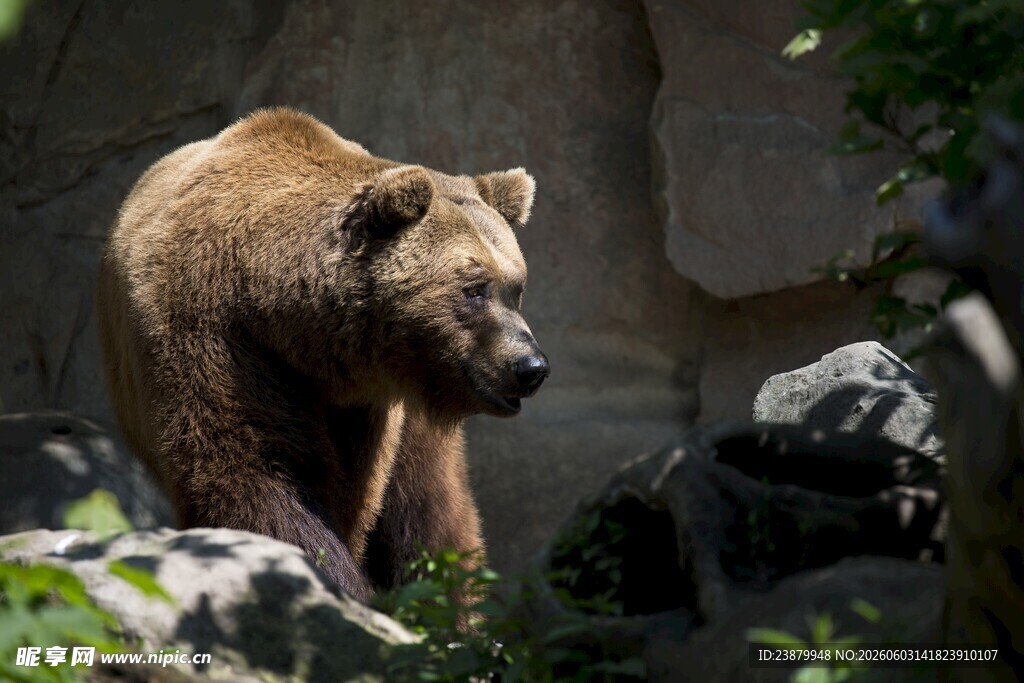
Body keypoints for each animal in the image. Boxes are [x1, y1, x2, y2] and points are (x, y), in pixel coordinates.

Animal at [96, 107, 549, 600]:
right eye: (474, 289)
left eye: (516, 288)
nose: (530, 367)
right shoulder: (218, 338)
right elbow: (259, 474)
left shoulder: (368, 409)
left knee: (431, 510)